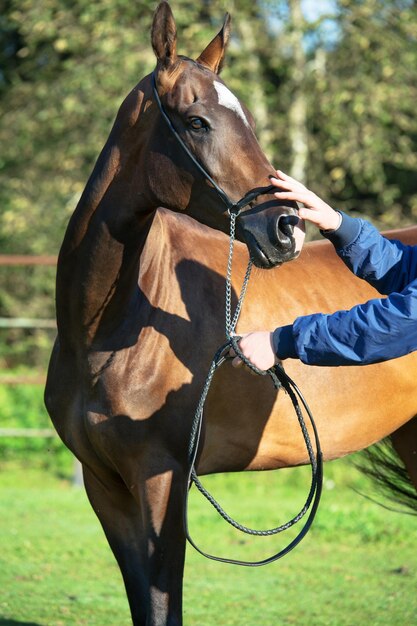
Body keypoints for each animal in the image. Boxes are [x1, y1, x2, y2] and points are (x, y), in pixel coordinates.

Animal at [44, 2, 414, 620]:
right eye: (197, 122)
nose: (288, 229)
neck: (106, 331)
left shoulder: (161, 481)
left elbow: (164, 603)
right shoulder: (106, 488)